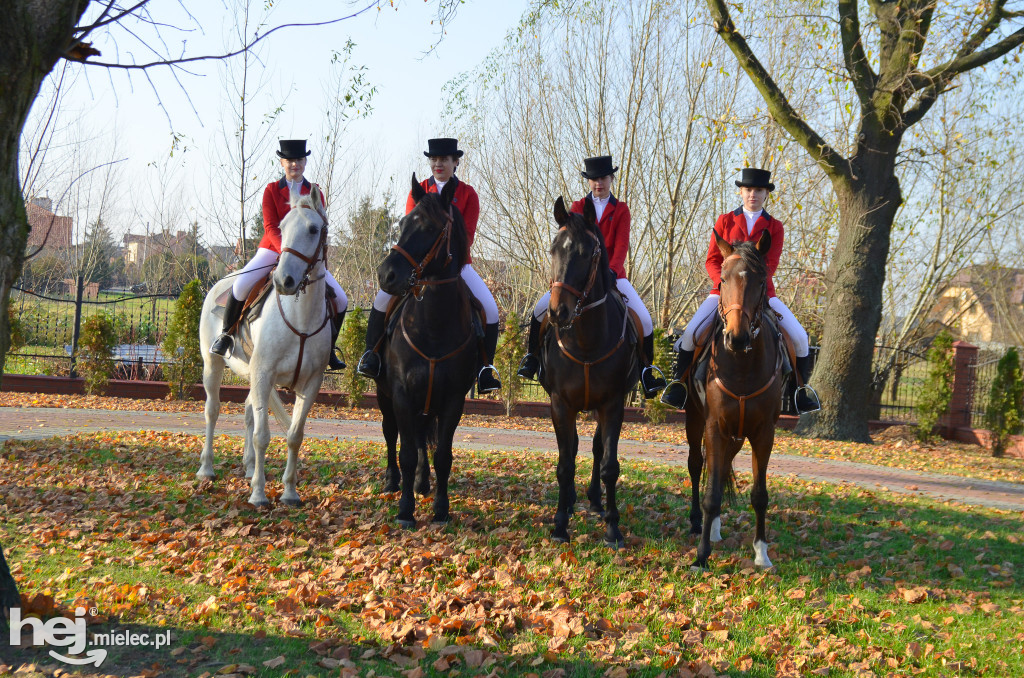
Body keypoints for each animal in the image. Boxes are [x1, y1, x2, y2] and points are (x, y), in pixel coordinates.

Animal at [196, 188, 331, 507]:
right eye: (281, 228)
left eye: (313, 229)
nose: (284, 281)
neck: (301, 317)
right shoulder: (263, 374)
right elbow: (262, 436)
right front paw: (258, 493)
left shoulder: (310, 383)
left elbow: (294, 435)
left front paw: (290, 492)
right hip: (213, 365)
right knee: (212, 410)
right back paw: (207, 468)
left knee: (247, 412)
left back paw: (247, 468)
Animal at [372, 173, 479, 528]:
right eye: (404, 222)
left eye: (432, 228)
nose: (387, 275)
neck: (432, 325)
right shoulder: (401, 394)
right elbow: (405, 451)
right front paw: (405, 510)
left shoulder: (453, 400)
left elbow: (442, 455)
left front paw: (441, 510)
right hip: (385, 396)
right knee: (391, 434)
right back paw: (393, 481)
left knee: (420, 439)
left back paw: (422, 483)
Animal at [536, 195, 638, 548]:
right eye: (553, 249)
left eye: (586, 253)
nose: (558, 312)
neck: (585, 340)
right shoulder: (559, 404)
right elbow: (565, 464)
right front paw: (559, 525)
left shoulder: (613, 404)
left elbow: (609, 464)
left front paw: (613, 527)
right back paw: (569, 502)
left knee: (595, 449)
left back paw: (594, 500)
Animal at [688, 231, 782, 569]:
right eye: (723, 279)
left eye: (760, 279)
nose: (737, 338)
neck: (742, 365)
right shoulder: (714, 426)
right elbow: (711, 492)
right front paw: (701, 556)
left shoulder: (763, 432)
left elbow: (759, 494)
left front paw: (761, 552)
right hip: (696, 422)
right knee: (698, 466)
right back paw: (700, 525)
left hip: (738, 434)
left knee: (724, 465)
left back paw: (714, 528)